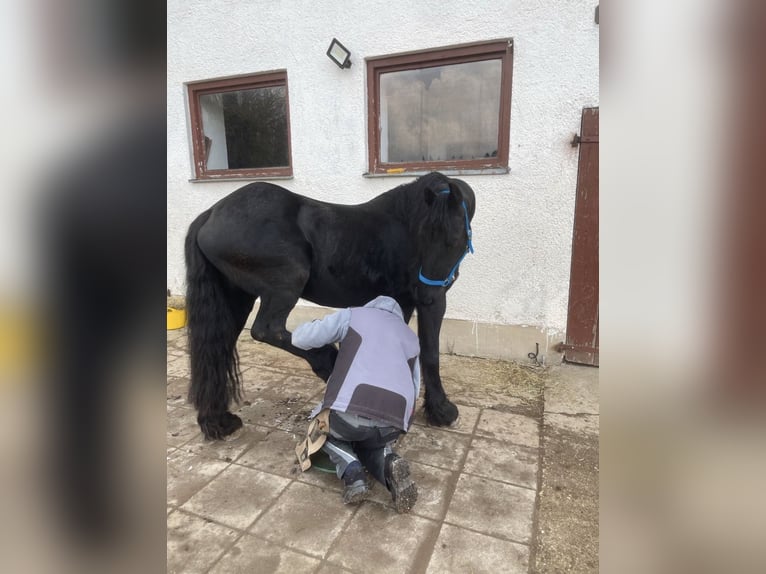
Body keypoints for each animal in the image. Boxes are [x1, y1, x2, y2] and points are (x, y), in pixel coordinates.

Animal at [184, 171, 475, 440]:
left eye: (454, 238)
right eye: (424, 235)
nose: (426, 292)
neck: (402, 223)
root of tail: (210, 215)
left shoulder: (402, 302)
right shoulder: (430, 303)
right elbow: (430, 353)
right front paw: (442, 410)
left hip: (236, 300)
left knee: (218, 348)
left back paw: (218, 420)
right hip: (287, 281)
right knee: (268, 330)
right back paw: (328, 360)